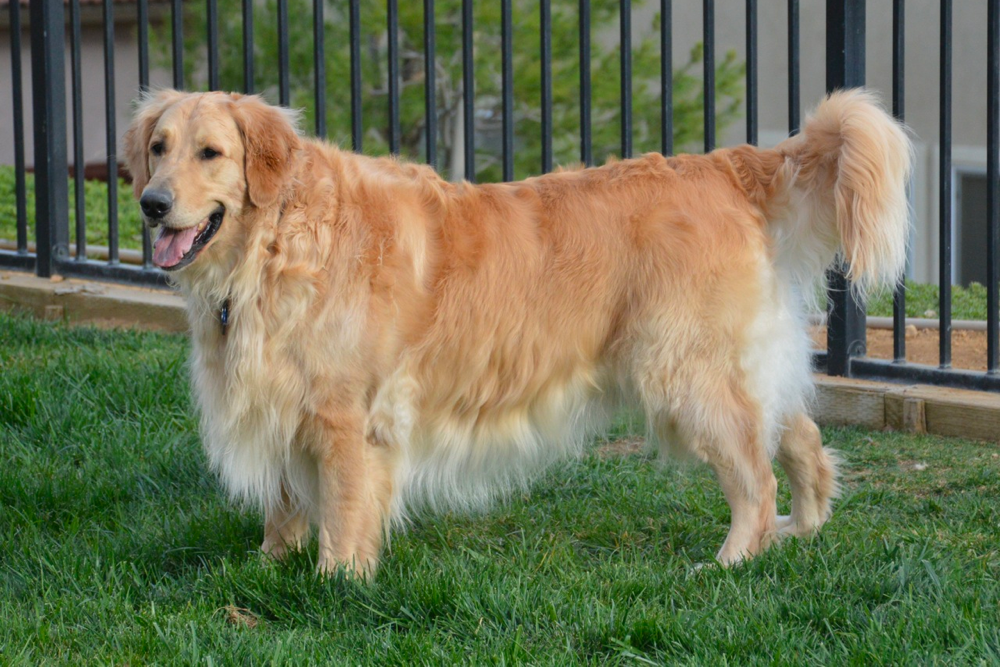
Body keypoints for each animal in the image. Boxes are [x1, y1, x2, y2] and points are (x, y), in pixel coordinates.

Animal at [125, 88, 916, 576]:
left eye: (211, 154)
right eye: (159, 146)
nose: (151, 203)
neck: (277, 241)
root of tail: (726, 165)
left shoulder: (346, 414)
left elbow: (343, 506)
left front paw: (335, 580)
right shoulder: (282, 400)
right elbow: (287, 503)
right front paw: (267, 567)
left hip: (684, 373)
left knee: (754, 477)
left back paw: (730, 561)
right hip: (735, 368)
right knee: (799, 437)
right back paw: (798, 534)